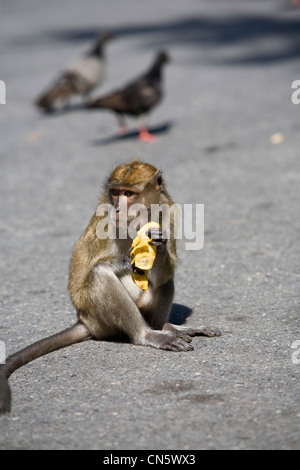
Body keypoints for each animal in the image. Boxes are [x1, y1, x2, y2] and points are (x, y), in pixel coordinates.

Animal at [0, 160, 220, 414]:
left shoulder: (169, 212)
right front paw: (127, 258)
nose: (117, 209)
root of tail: (85, 321)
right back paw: (149, 334)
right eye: (115, 193)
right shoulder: (104, 219)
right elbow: (98, 268)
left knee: (165, 281)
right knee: (100, 275)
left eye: (129, 194)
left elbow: (167, 269)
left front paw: (158, 243)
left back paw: (166, 327)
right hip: (97, 316)